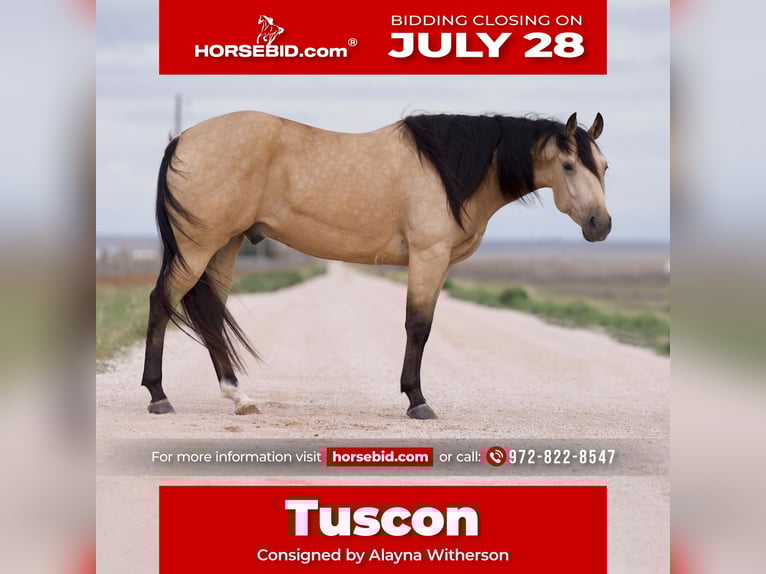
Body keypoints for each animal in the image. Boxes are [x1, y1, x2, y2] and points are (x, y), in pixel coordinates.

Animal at [141, 111, 610, 419]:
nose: (600, 225)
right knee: (161, 302)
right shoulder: (427, 256)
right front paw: (417, 401)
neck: (449, 170)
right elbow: (418, 326)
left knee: (211, 316)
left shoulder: (438, 264)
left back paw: (239, 396)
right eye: (568, 164)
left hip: (224, 247)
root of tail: (181, 139)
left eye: (604, 166)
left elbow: (423, 324)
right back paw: (159, 396)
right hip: (198, 248)